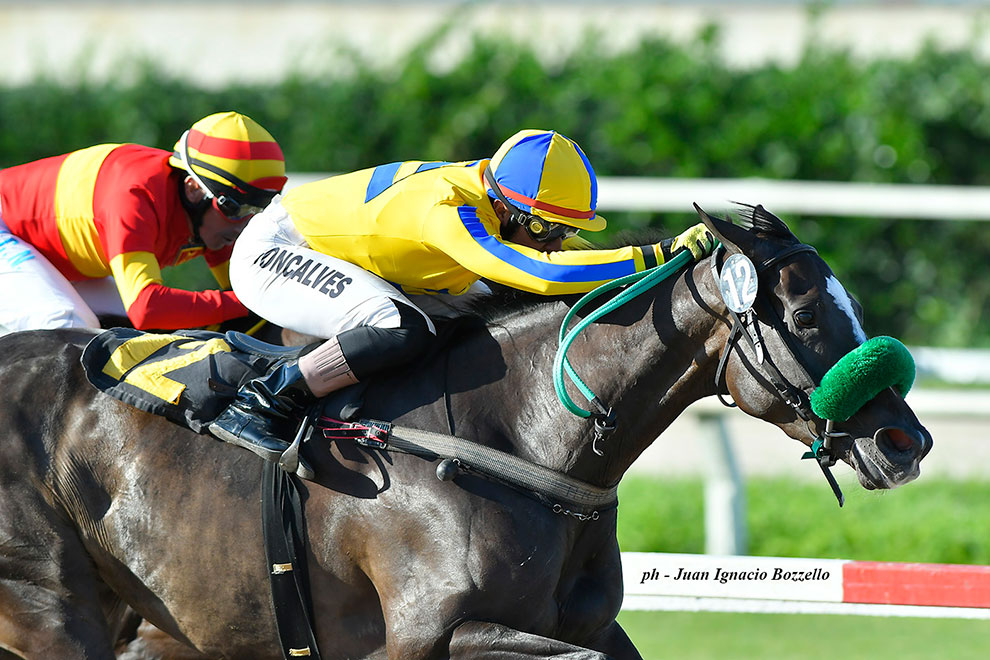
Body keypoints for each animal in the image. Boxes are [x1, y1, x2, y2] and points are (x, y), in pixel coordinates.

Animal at [0, 205, 931, 660]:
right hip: (50, 609)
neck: (511, 439)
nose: (906, 443)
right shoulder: (424, 635)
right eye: (806, 315)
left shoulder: (584, 626)